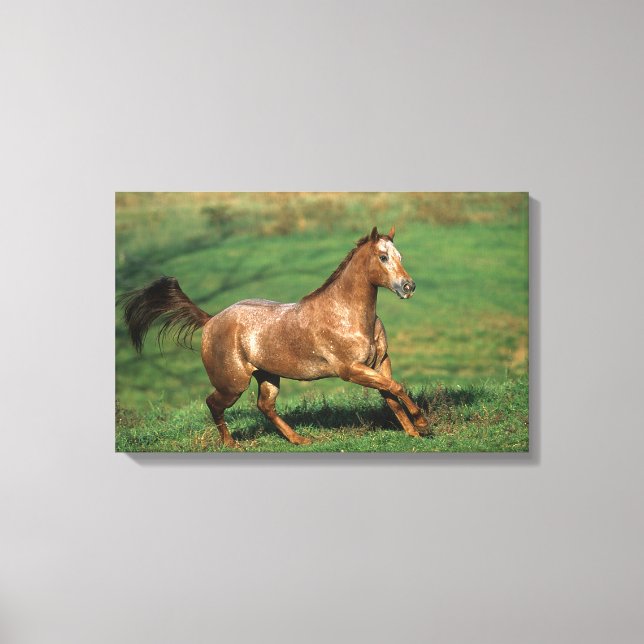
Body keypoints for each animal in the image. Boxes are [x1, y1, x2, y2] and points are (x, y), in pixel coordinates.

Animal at [119, 225, 428, 447]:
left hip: (267, 376)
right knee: (213, 403)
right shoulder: (351, 370)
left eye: (400, 257)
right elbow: (396, 388)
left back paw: (299, 439)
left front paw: (413, 433)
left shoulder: (379, 362)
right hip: (233, 384)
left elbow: (391, 394)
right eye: (383, 257)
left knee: (265, 406)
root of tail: (210, 320)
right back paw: (231, 444)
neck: (347, 314)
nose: (408, 287)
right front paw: (422, 424)